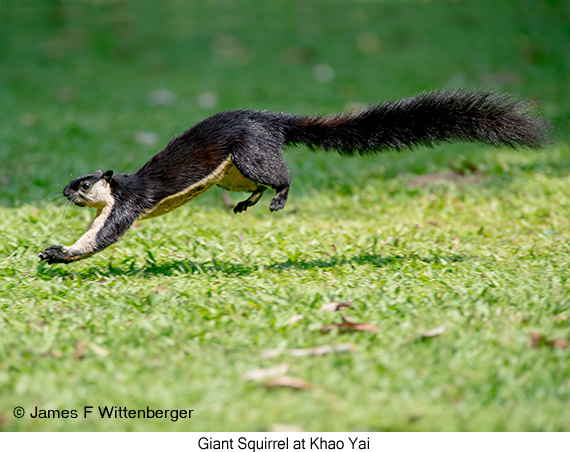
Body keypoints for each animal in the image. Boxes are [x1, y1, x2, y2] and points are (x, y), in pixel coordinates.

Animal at [38, 89, 544, 264]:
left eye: (82, 184)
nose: (63, 190)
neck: (116, 188)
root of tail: (273, 120)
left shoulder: (127, 204)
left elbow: (100, 238)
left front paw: (57, 254)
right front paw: (53, 248)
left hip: (249, 154)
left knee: (279, 175)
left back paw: (279, 198)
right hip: (232, 172)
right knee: (257, 183)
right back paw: (248, 204)